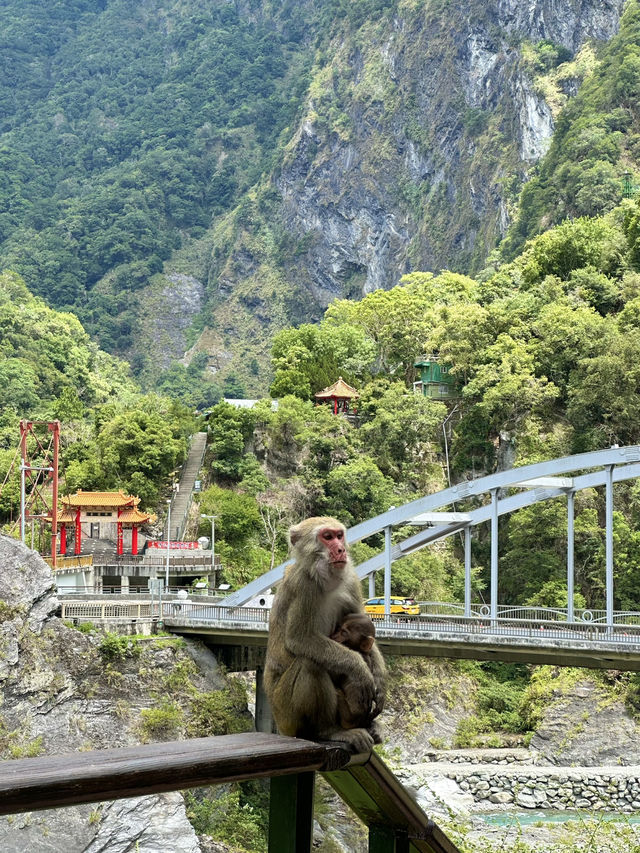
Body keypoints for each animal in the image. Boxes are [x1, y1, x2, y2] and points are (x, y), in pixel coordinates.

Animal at [332, 612, 382, 740]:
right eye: (338, 629)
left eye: (344, 633)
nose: (334, 636)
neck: (360, 650)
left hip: (347, 719)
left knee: (338, 691)